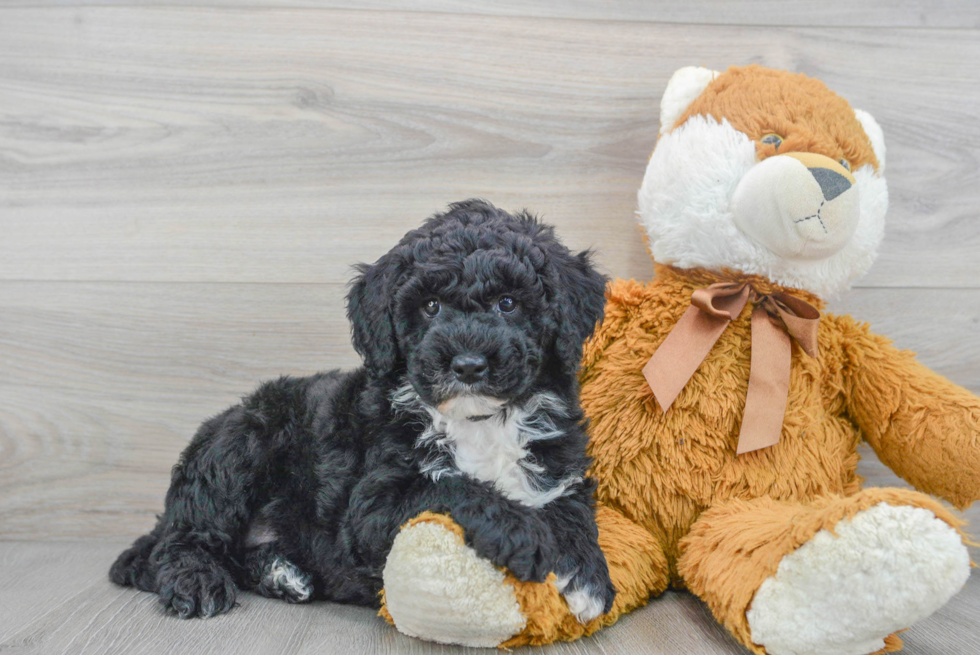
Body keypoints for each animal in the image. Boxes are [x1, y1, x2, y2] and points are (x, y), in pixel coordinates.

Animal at [111, 200, 616, 624]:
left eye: (507, 303)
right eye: (430, 306)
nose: (468, 364)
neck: (480, 422)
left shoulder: (560, 467)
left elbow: (573, 511)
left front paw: (588, 576)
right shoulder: (371, 508)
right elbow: (451, 486)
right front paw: (524, 534)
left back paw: (281, 573)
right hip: (239, 443)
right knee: (184, 539)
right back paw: (198, 581)